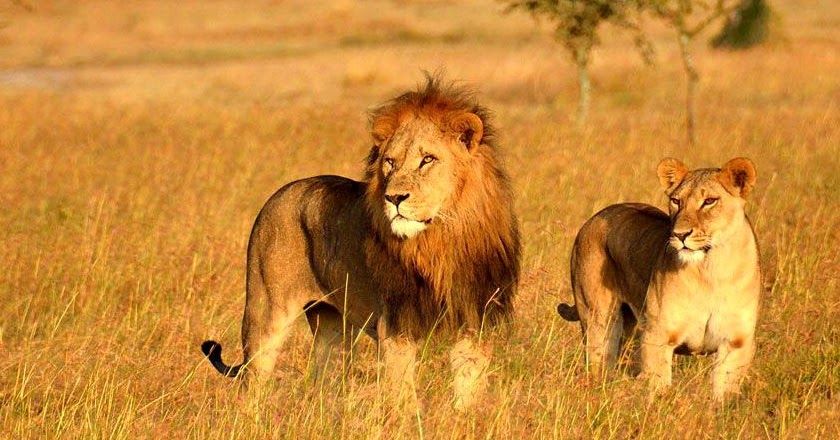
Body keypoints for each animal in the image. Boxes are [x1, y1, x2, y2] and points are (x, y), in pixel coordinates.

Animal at [201, 76, 520, 411]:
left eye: (428, 160)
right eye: (390, 162)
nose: (394, 197)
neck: (441, 240)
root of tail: (280, 193)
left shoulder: (475, 320)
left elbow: (469, 389)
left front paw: (463, 417)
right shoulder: (396, 326)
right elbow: (404, 398)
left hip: (331, 327)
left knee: (322, 377)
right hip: (265, 311)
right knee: (252, 380)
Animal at [557, 157, 761, 400]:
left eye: (710, 201)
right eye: (676, 201)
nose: (680, 235)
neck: (711, 271)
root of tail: (595, 216)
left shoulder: (735, 342)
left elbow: (724, 394)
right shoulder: (657, 336)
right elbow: (659, 387)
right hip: (599, 321)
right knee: (599, 363)